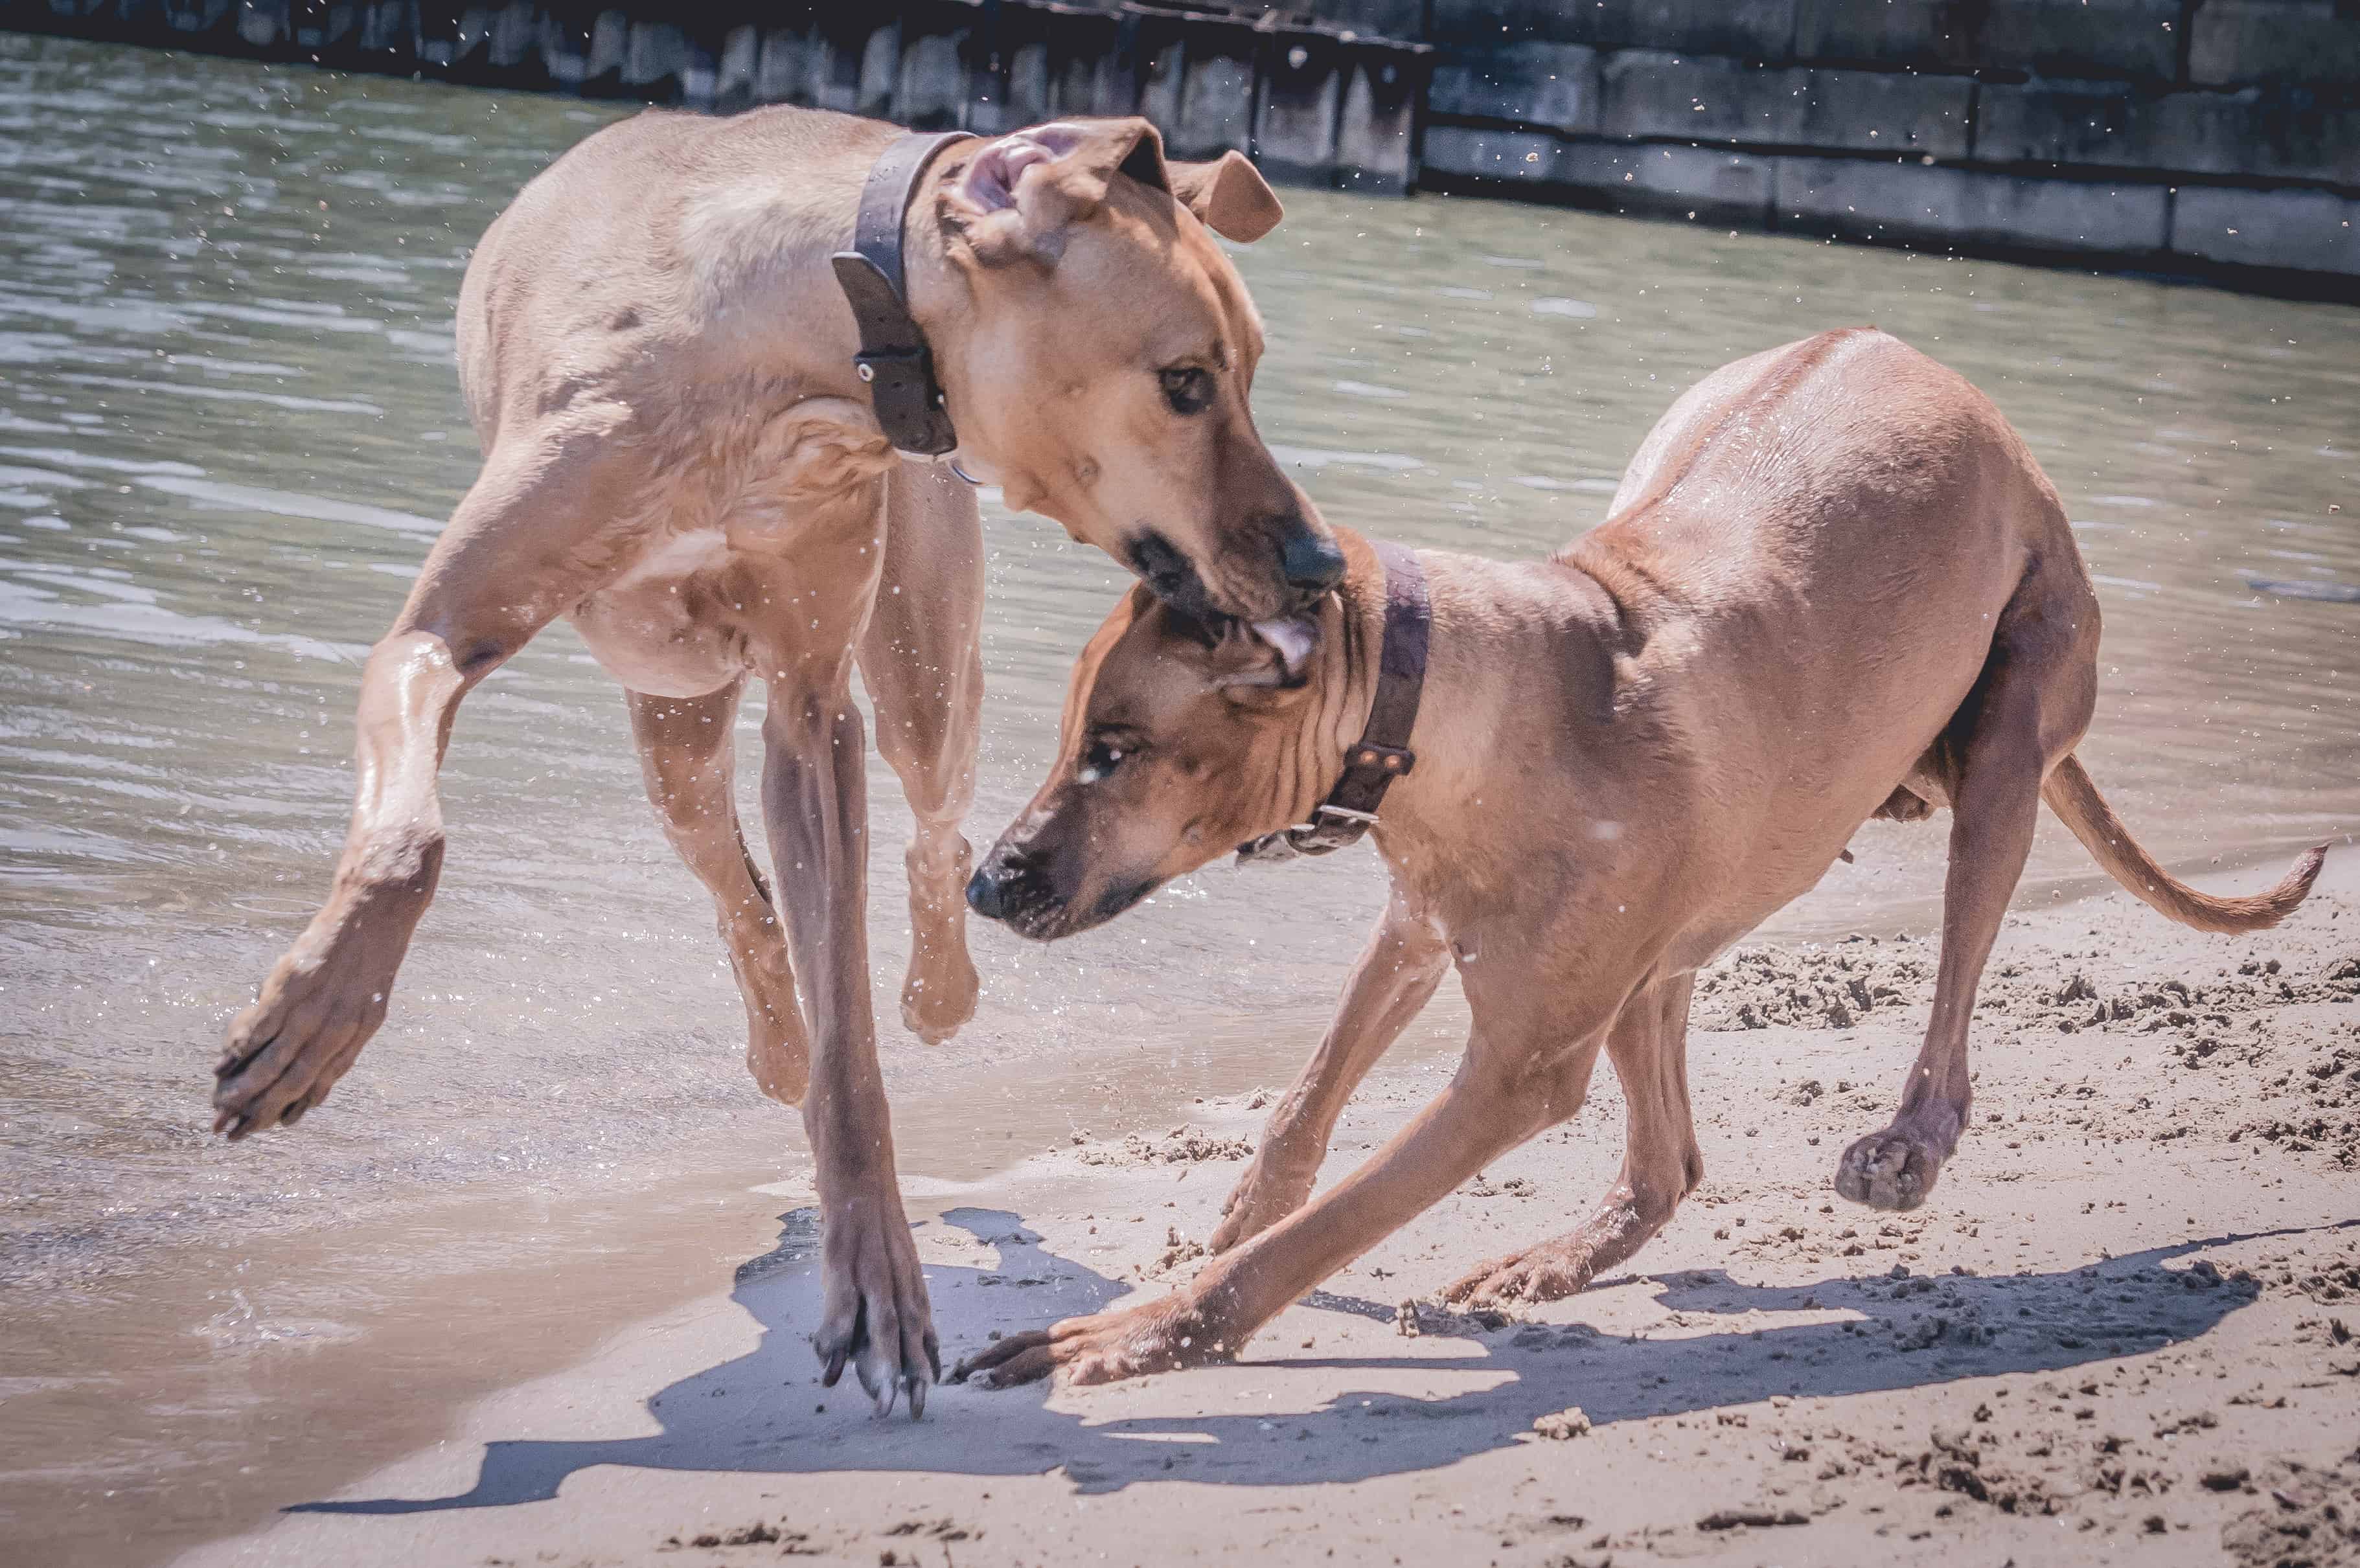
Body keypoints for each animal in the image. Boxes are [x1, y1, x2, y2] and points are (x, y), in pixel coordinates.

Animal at [210, 104, 1340, 1415]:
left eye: (1242, 372)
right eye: (1185, 382)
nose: (1320, 563)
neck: (797, 372)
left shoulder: (812, 711)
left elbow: (851, 1035)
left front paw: (877, 1277)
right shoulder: (434, 633)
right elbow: (411, 837)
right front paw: (312, 1015)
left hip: (917, 666)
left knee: (931, 830)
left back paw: (934, 992)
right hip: (671, 726)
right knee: (729, 881)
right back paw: (771, 1034)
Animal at [953, 328, 2322, 1386]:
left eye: (1116, 752)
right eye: (1075, 739)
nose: (983, 882)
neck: (1475, 704)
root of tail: (1932, 367)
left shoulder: (1513, 1076)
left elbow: (1334, 1223)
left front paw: (1134, 1337)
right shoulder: (1414, 923)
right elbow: (1304, 1107)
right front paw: (1227, 1223)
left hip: (2008, 728)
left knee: (1950, 996)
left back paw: (1905, 1148)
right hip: (1666, 932)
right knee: (1668, 1158)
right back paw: (1559, 1257)